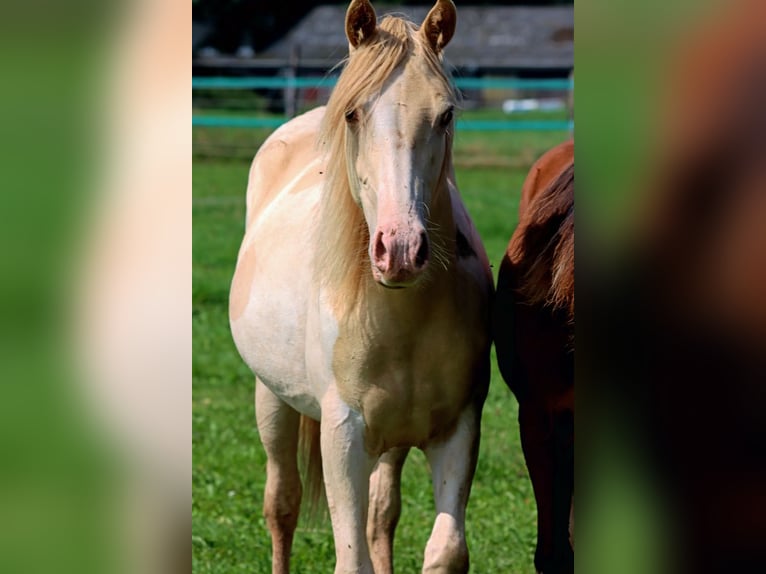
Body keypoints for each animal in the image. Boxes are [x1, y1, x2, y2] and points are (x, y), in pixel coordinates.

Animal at [228, 2, 492, 572]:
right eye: (353, 114)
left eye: (446, 115)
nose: (400, 250)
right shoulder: (343, 435)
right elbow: (351, 557)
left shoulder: (459, 428)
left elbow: (445, 549)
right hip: (272, 401)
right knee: (281, 505)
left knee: (380, 514)